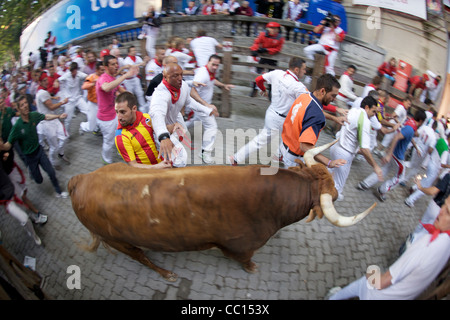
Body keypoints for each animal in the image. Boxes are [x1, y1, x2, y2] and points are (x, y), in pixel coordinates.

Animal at [68, 141, 374, 282]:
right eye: (334, 195)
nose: (338, 193)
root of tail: (81, 179)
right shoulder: (239, 246)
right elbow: (245, 259)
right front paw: (252, 268)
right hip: (119, 242)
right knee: (141, 258)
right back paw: (167, 273)